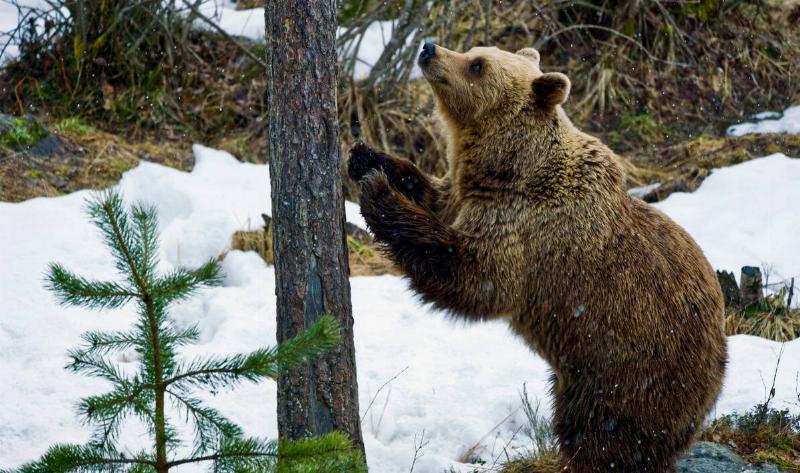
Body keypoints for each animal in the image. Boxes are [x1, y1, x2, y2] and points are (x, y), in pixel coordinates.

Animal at [347, 42, 727, 473]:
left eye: (477, 65)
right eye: (474, 51)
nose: (430, 48)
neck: (508, 169)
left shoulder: (526, 228)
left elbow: (473, 278)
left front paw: (378, 193)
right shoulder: (466, 197)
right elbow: (435, 195)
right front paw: (368, 158)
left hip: (625, 374)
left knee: (600, 437)